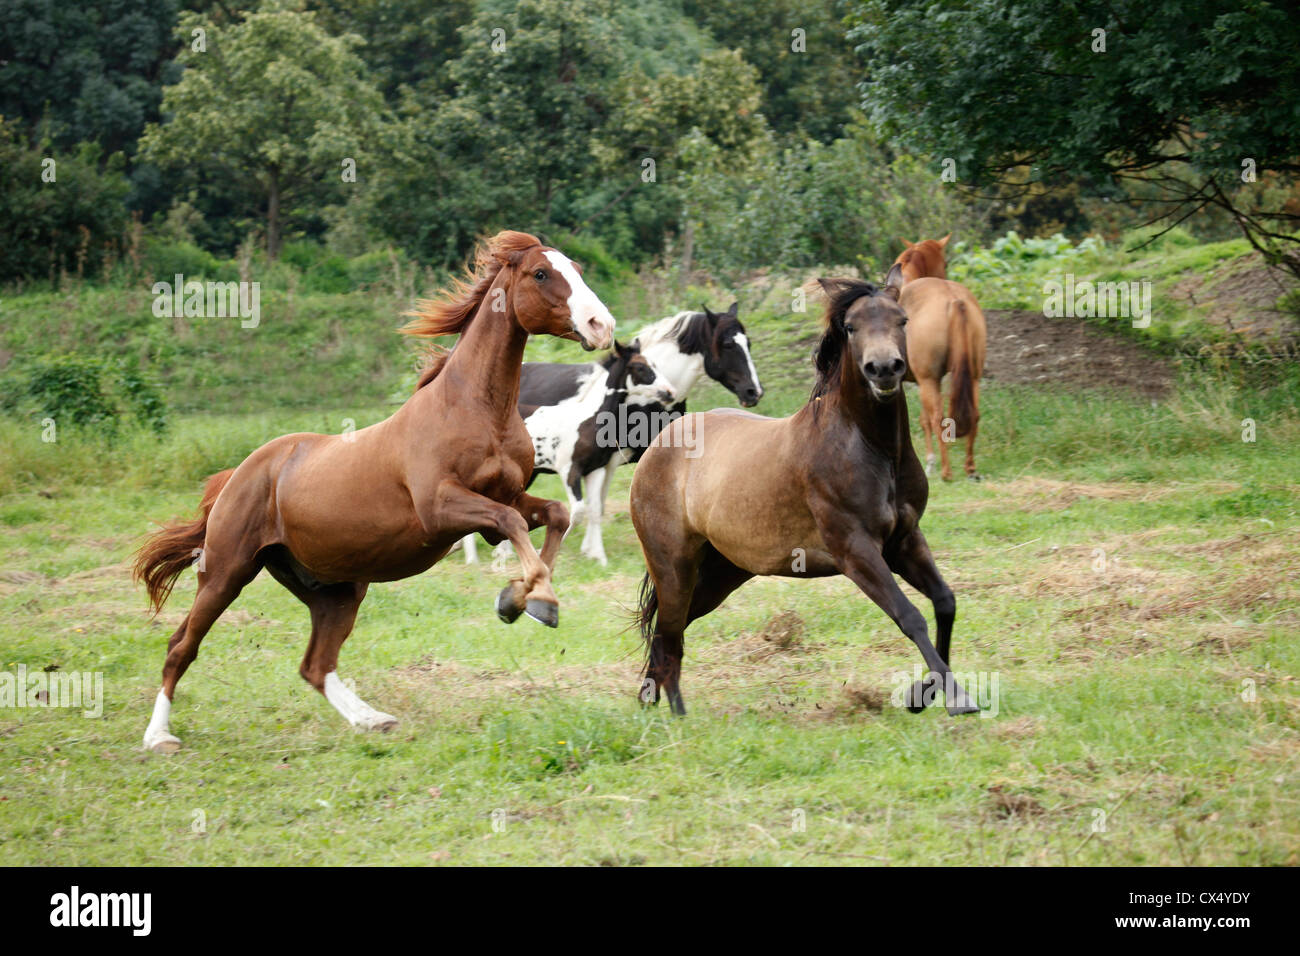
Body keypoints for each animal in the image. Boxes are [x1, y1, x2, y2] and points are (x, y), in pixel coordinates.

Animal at [465, 303, 759, 564]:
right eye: (728, 344)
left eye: (748, 343)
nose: (753, 392)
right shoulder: (606, 462)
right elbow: (593, 506)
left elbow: (599, 505)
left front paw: (593, 553)